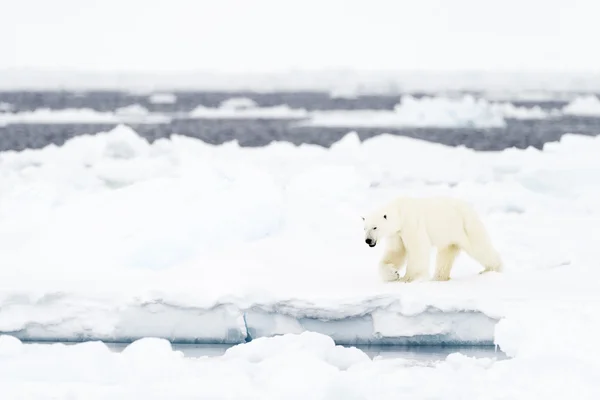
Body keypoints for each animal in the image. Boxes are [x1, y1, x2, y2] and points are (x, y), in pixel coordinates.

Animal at [360, 196, 502, 282]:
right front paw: (394, 273)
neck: (400, 211)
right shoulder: (396, 234)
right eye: (364, 228)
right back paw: (439, 277)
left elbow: (417, 249)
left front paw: (408, 278)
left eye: (375, 227)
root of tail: (469, 208)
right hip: (449, 235)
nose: (368, 241)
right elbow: (395, 253)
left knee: (479, 247)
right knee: (446, 254)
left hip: (465, 226)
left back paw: (492, 269)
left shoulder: (411, 224)